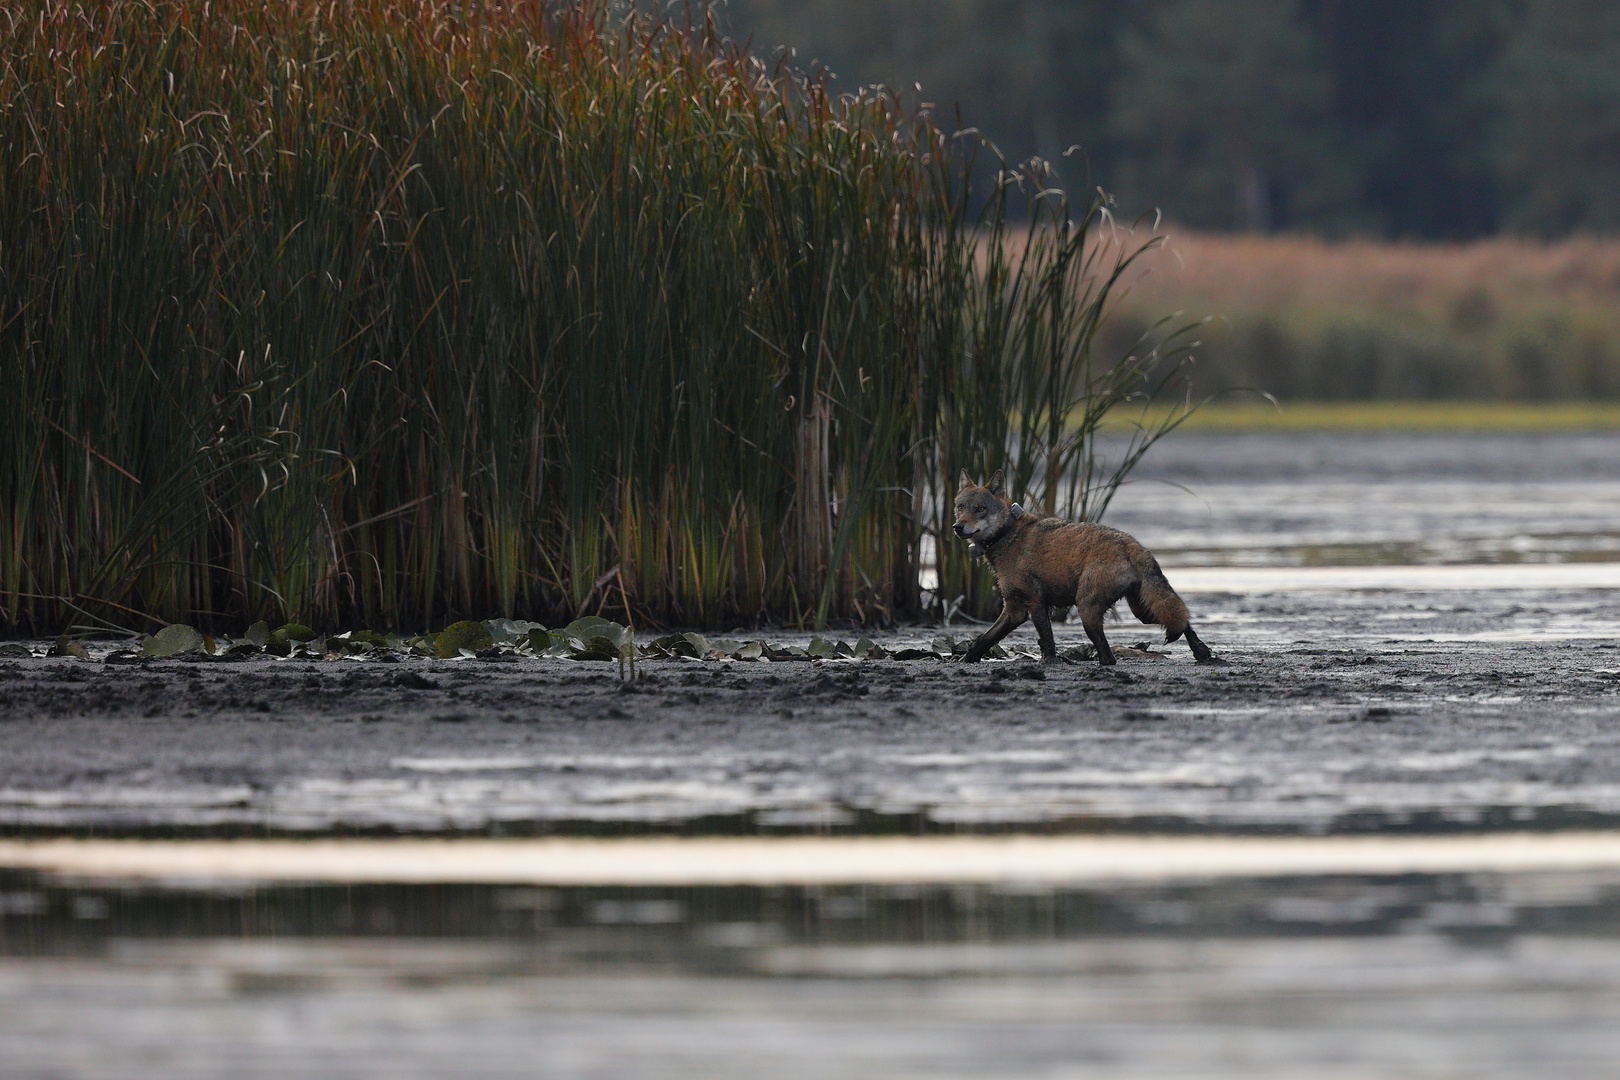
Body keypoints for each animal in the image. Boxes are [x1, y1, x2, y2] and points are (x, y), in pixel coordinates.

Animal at [946, 466, 1218, 663]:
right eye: (960, 507)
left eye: (980, 509)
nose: (958, 527)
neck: (1008, 535)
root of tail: (1131, 544)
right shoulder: (1014, 610)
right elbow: (984, 640)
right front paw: (966, 660)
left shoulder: (1035, 603)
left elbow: (1047, 641)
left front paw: (1050, 663)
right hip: (1143, 612)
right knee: (1183, 620)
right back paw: (1202, 653)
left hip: (1087, 611)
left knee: (1108, 657)